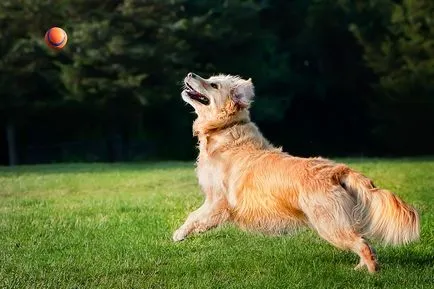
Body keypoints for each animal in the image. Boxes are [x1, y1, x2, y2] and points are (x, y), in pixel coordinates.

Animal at [173, 72, 420, 272]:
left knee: (362, 244)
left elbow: (195, 216)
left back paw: (371, 273)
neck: (224, 130)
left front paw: (179, 234)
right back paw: (361, 267)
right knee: (365, 241)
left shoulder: (217, 201)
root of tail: (339, 170)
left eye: (213, 84)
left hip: (328, 223)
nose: (190, 73)